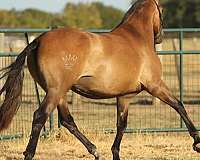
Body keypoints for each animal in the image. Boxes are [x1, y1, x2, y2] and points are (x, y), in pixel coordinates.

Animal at [0, 0, 200, 159]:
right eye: (162, 10)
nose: (160, 37)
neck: (137, 39)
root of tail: (38, 40)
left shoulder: (125, 96)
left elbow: (121, 125)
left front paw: (115, 153)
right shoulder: (156, 86)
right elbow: (179, 105)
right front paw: (196, 142)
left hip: (59, 93)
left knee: (67, 121)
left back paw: (95, 151)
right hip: (55, 91)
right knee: (40, 116)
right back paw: (29, 154)